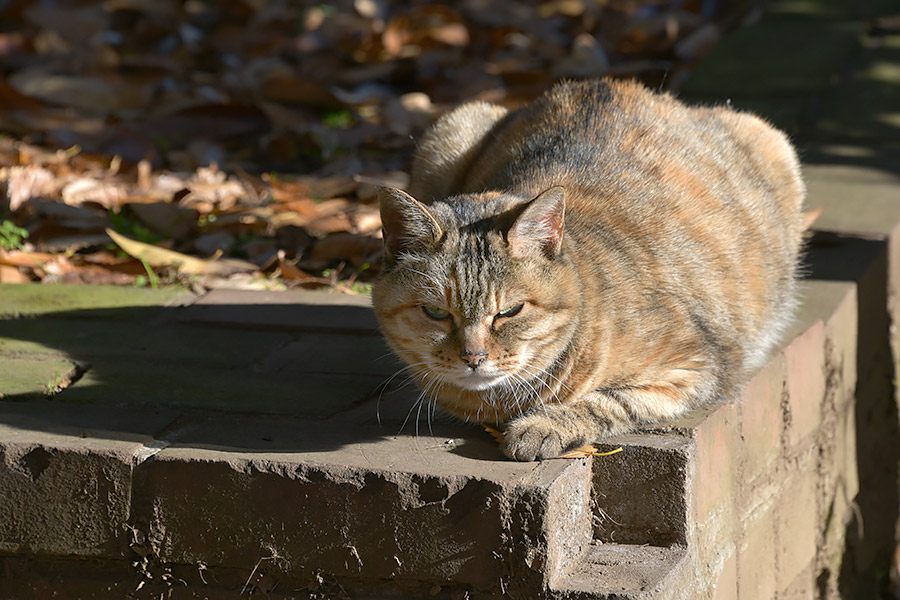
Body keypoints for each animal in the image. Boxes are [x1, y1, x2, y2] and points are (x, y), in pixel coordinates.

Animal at [370, 77, 804, 462]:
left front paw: (542, 425)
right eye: (435, 312)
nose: (473, 357)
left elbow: (610, 402)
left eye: (510, 311)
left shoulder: (698, 366)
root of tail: (610, 83)